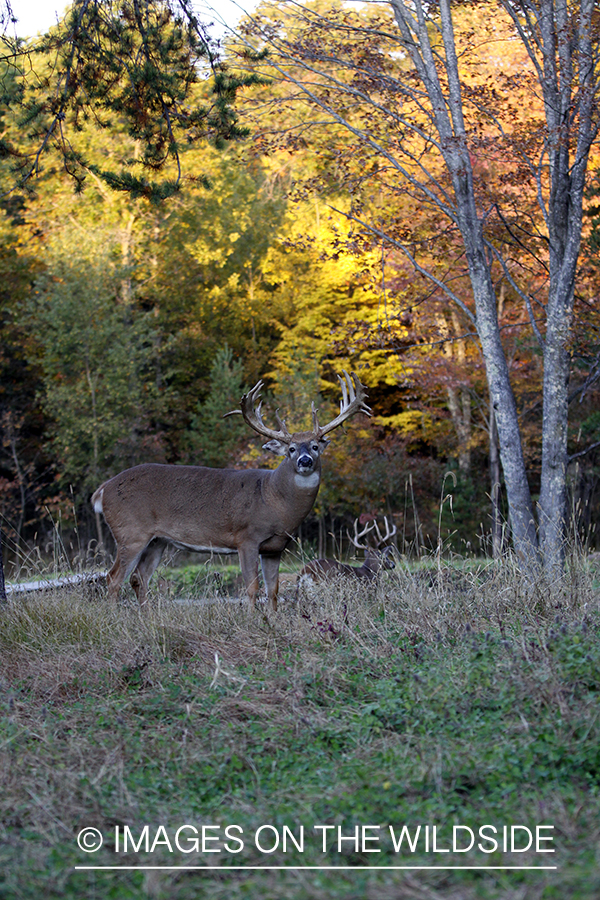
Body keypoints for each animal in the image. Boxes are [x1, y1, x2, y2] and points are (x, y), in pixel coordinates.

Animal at [91, 368, 370, 612]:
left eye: (314, 446)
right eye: (291, 449)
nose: (304, 461)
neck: (273, 500)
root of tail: (103, 489)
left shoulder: (275, 547)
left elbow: (274, 589)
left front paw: (273, 621)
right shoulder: (246, 537)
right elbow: (251, 587)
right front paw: (253, 621)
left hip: (158, 540)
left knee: (139, 578)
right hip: (130, 531)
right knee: (113, 577)